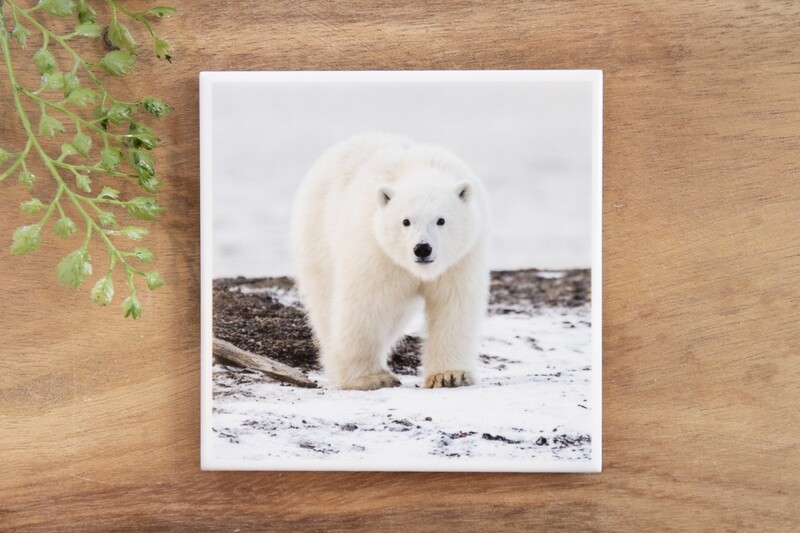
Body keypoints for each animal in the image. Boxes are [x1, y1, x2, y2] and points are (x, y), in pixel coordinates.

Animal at [290, 132, 489, 390]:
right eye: (405, 221)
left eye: (441, 220)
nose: (422, 249)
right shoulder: (376, 251)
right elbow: (366, 305)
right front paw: (369, 377)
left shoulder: (462, 258)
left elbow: (454, 304)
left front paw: (450, 375)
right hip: (318, 235)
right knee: (325, 303)